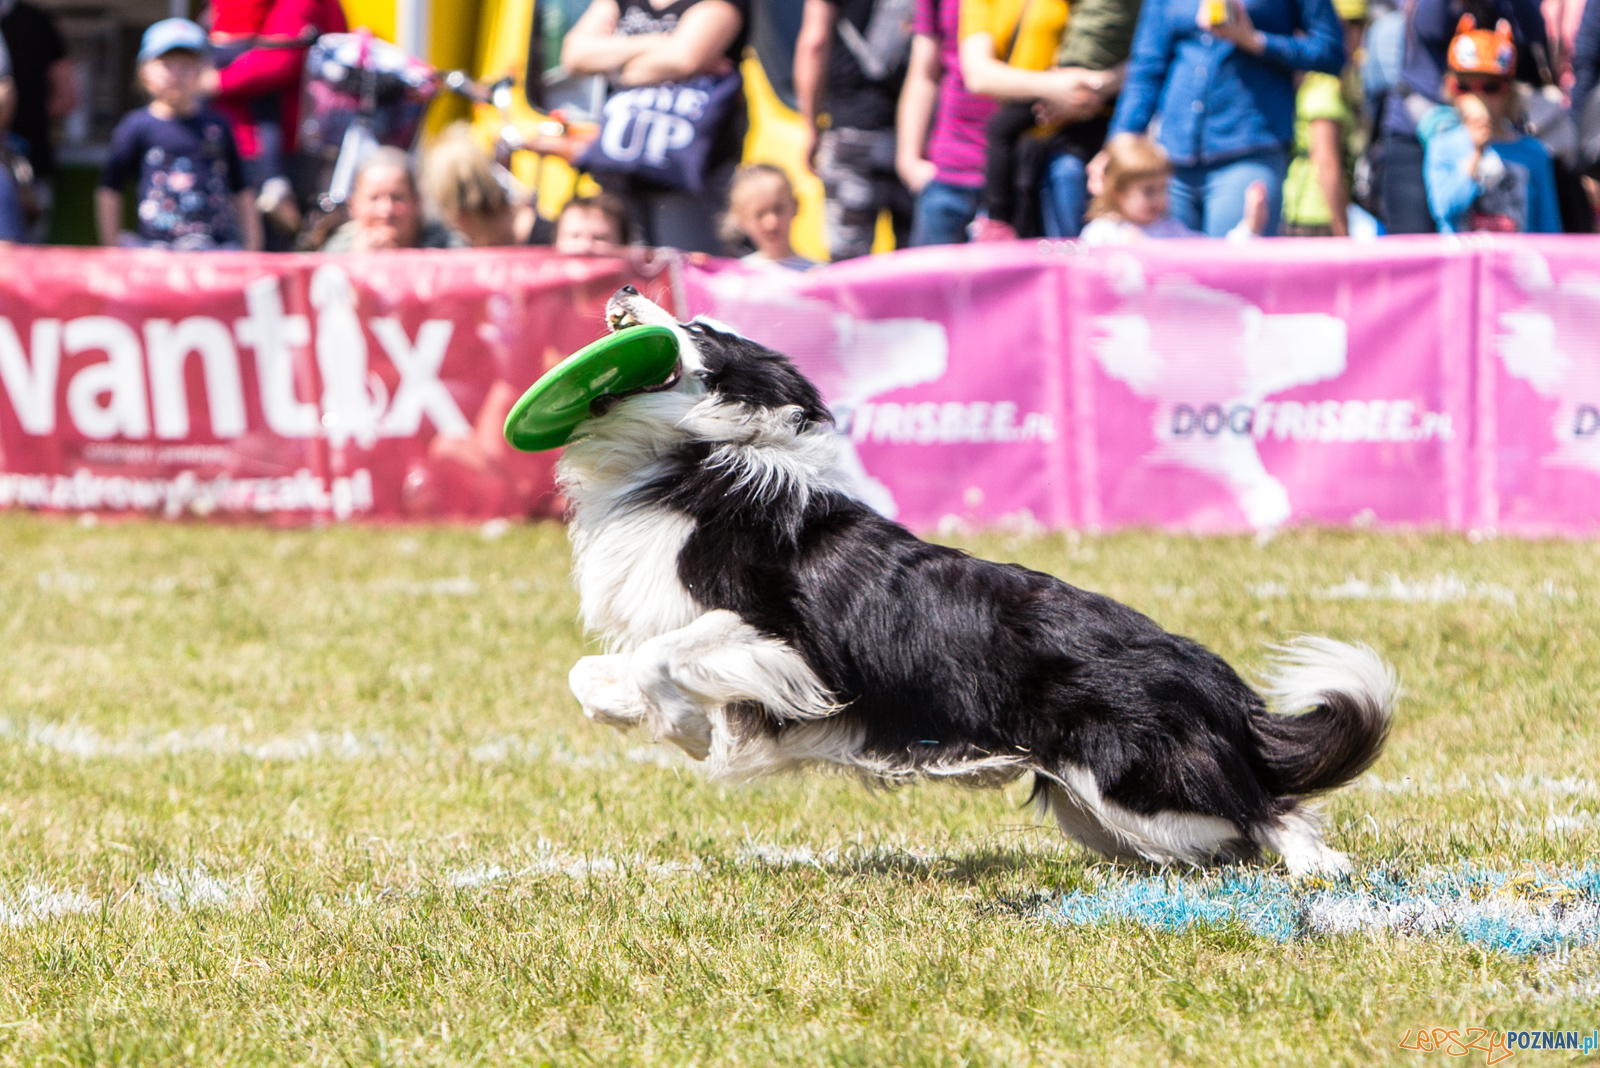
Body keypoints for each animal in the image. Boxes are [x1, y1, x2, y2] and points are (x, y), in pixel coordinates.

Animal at [558, 286, 1394, 877]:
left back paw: (1321, 870)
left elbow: (659, 657)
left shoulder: (790, 642)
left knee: (1267, 808)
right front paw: (639, 716)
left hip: (1133, 779)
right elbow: (589, 673)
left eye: (698, 328)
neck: (690, 461)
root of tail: (1212, 677)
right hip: (1104, 811)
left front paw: (689, 731)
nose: (625, 283)